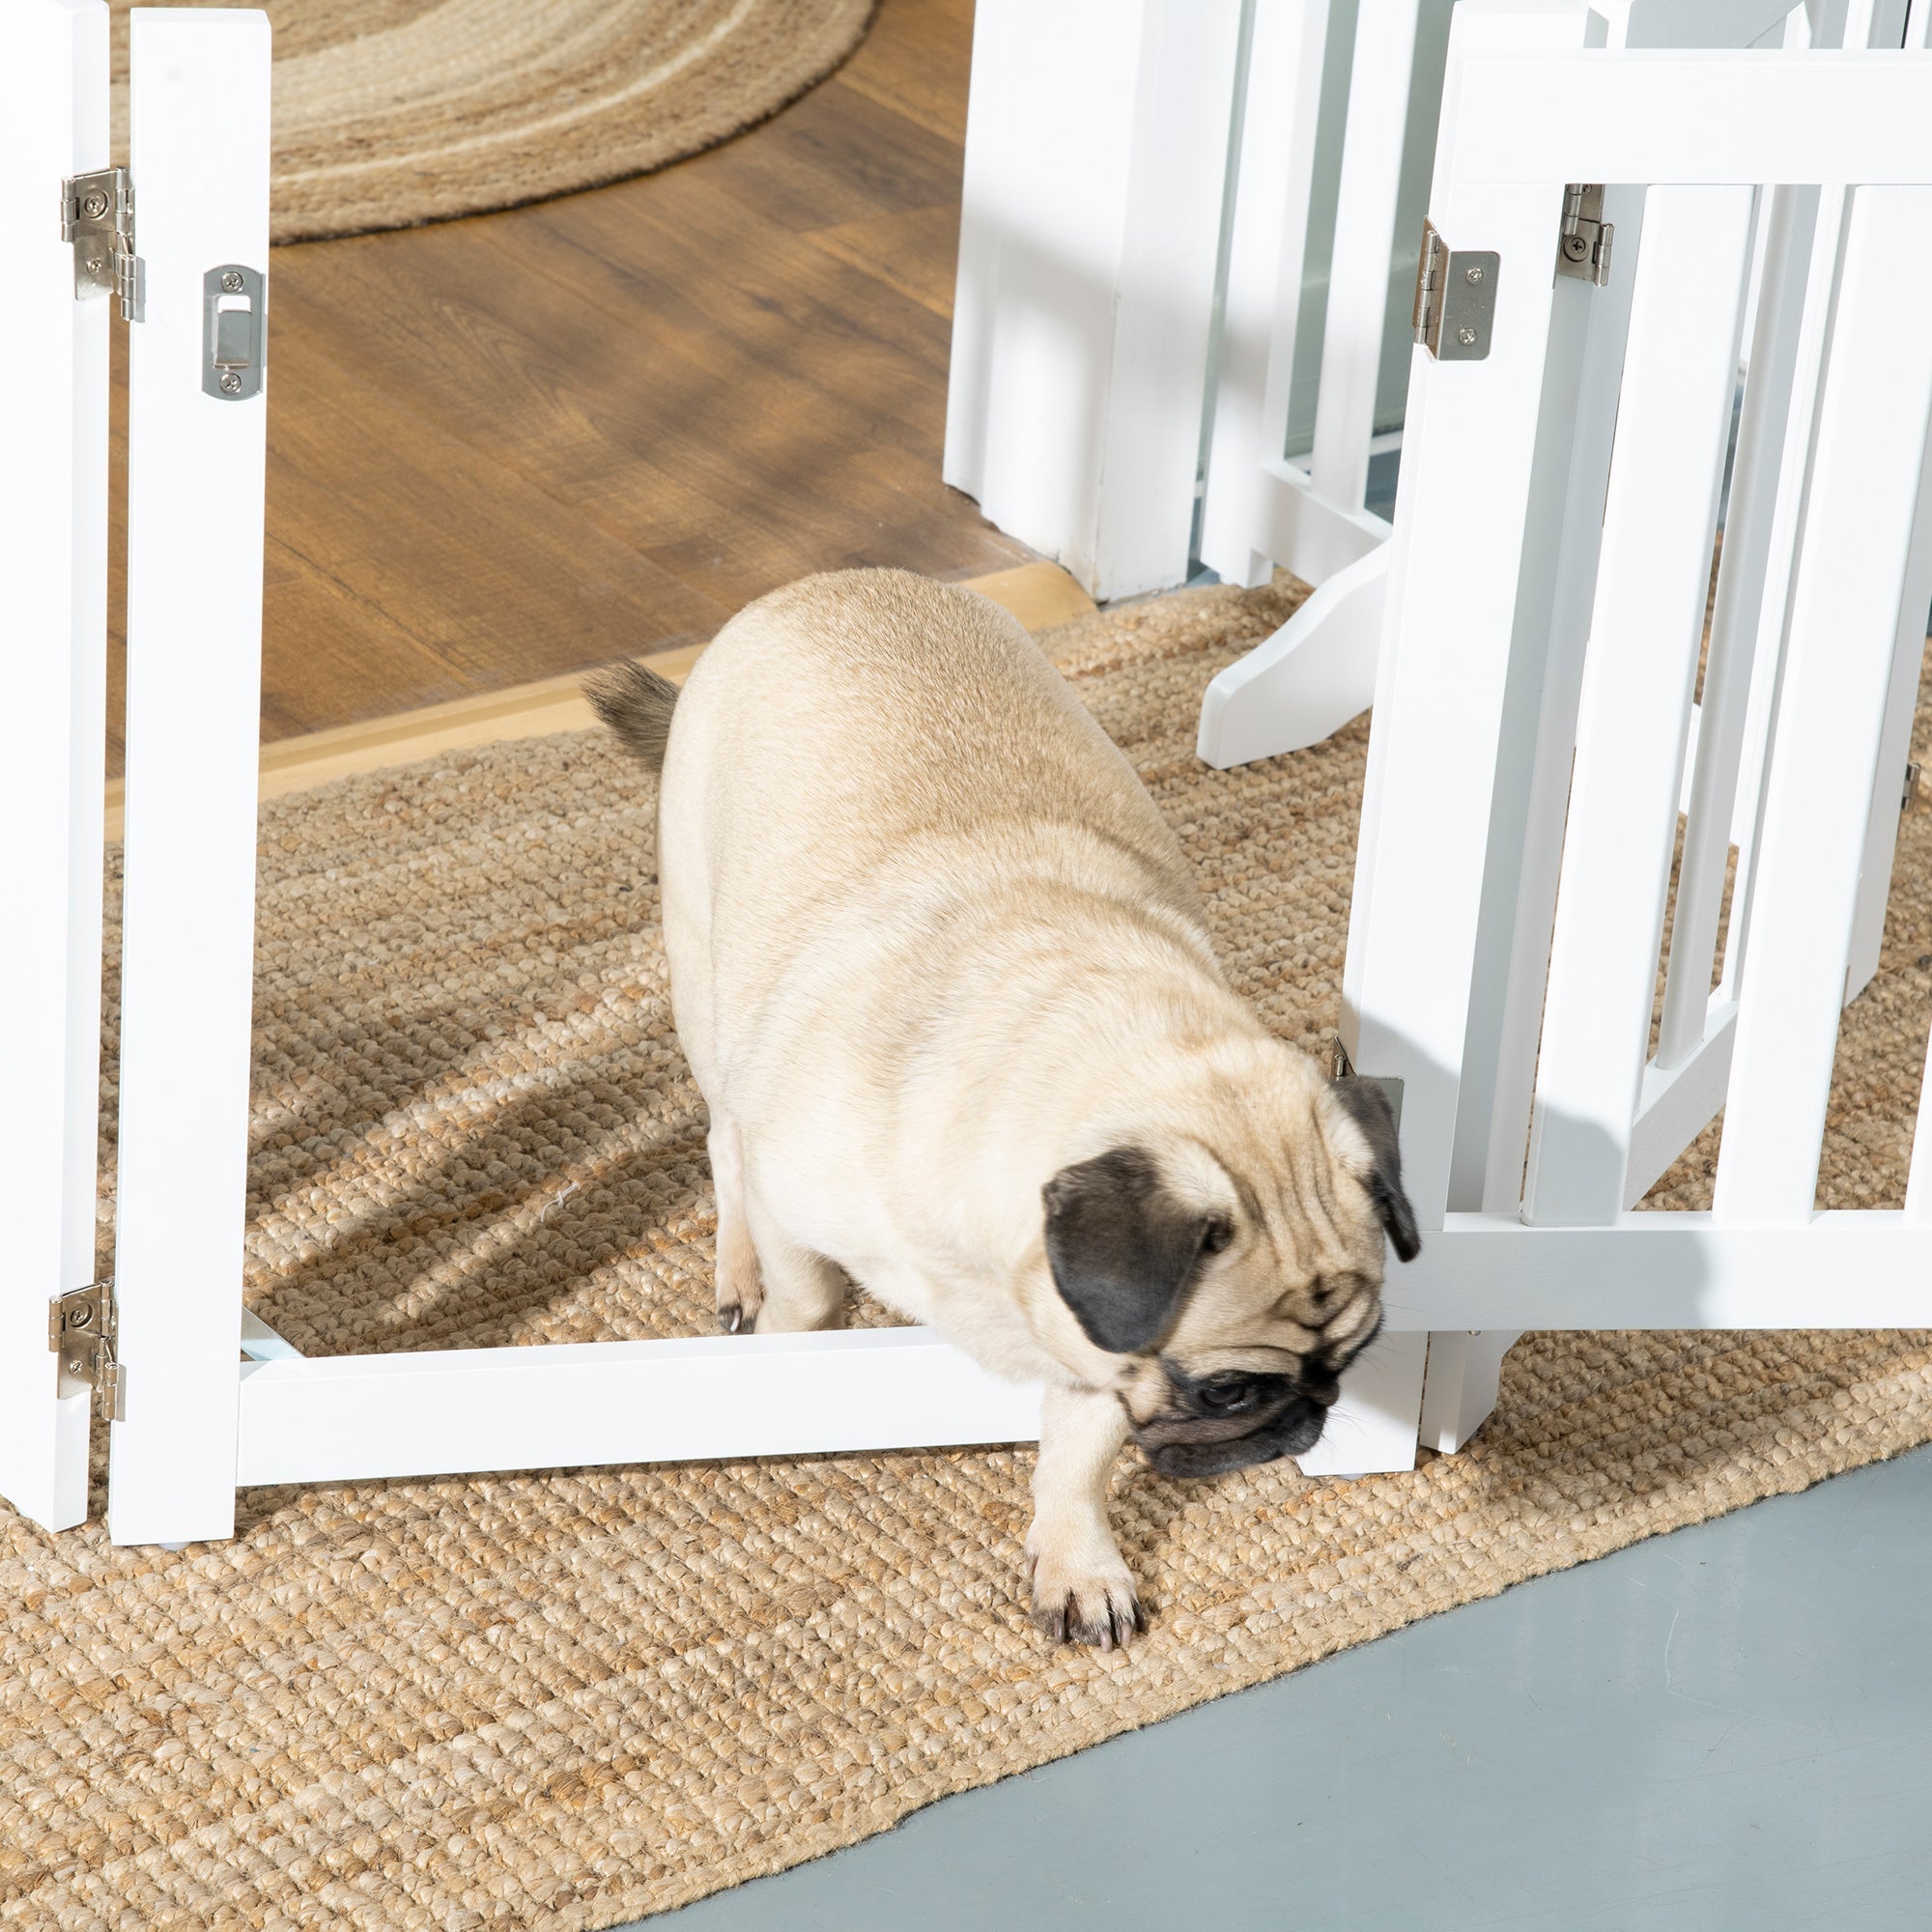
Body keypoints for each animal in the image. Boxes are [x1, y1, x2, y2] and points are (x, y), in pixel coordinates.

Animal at [580, 568, 1414, 1646]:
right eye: (1224, 1386)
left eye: (1353, 1358)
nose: (1301, 1421)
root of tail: (827, 583)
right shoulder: (803, 1205)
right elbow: (807, 1301)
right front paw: (790, 1370)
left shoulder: (1093, 1345)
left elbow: (1079, 1454)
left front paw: (1076, 1559)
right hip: (704, 978)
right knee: (724, 1140)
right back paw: (738, 1268)